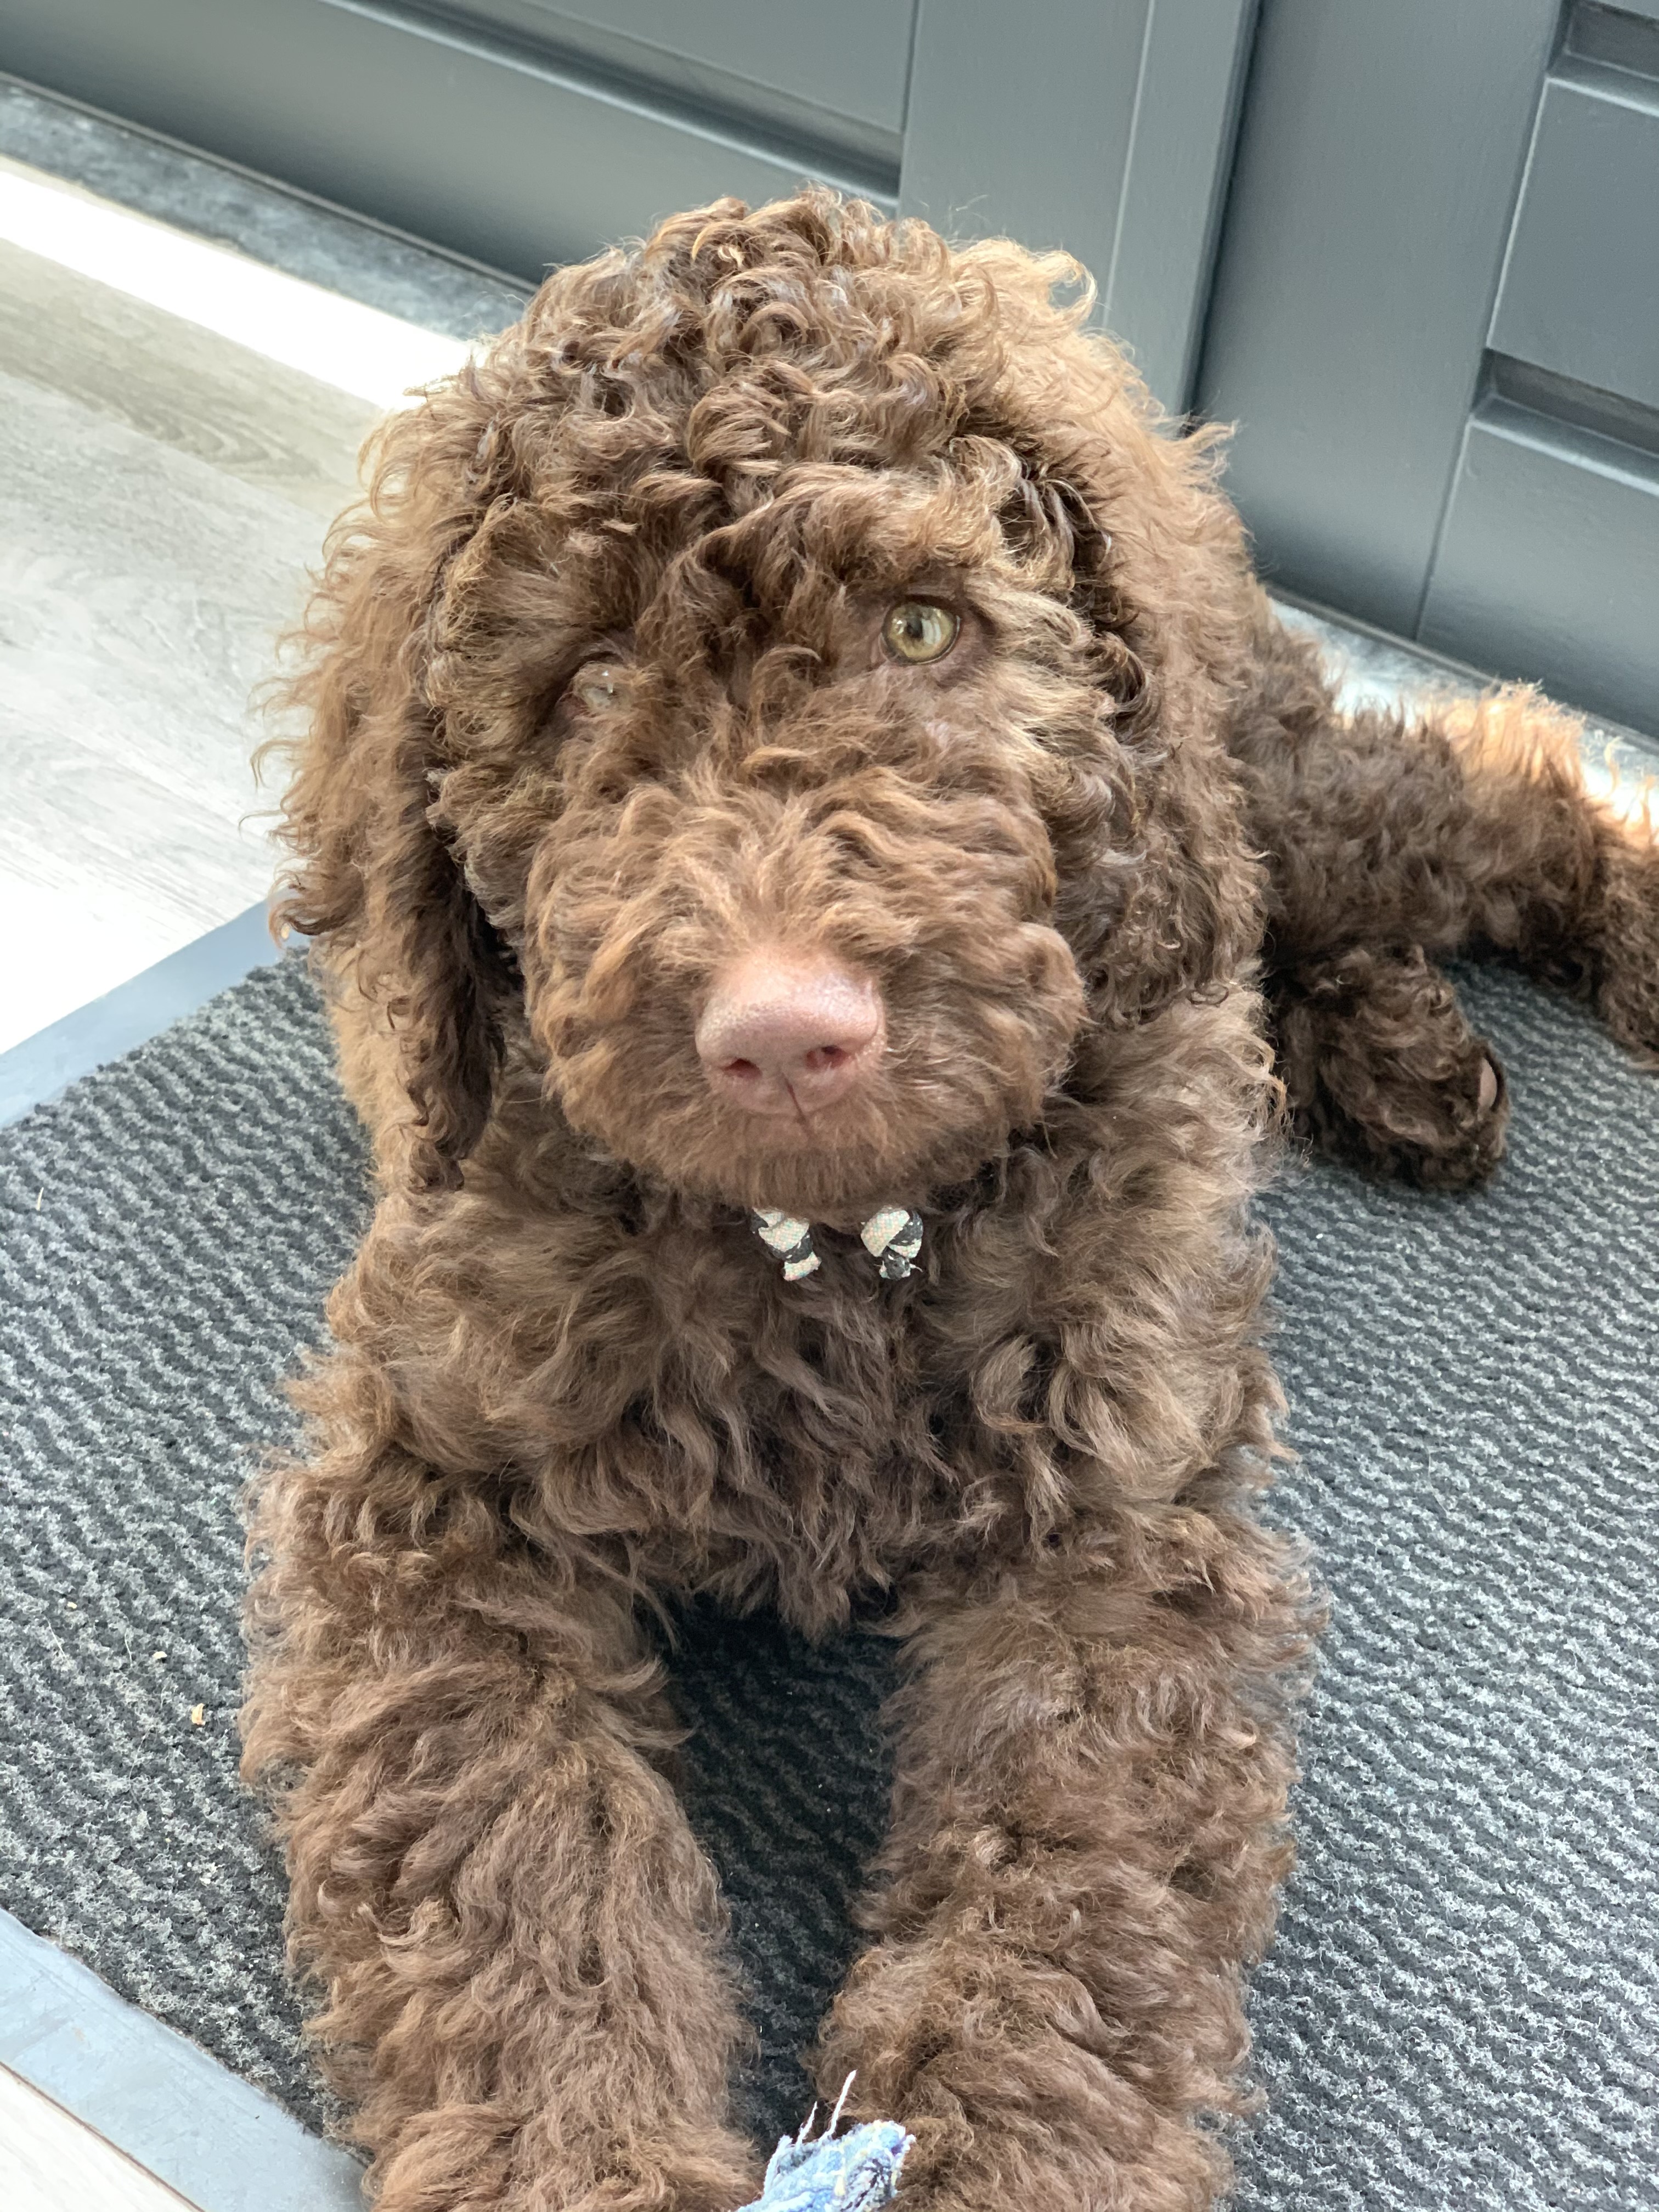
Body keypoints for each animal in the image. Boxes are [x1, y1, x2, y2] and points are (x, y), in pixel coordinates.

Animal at [243, 194, 1659, 2212]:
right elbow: (520, 1865)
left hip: (1265, 776)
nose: (786, 1033)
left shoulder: (1113, 1537)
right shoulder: (428, 1499)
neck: (836, 1254)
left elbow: (1056, 1943)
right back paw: (1396, 1054)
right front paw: (590, 2154)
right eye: (585, 684)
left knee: (1471, 790)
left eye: (923, 627)